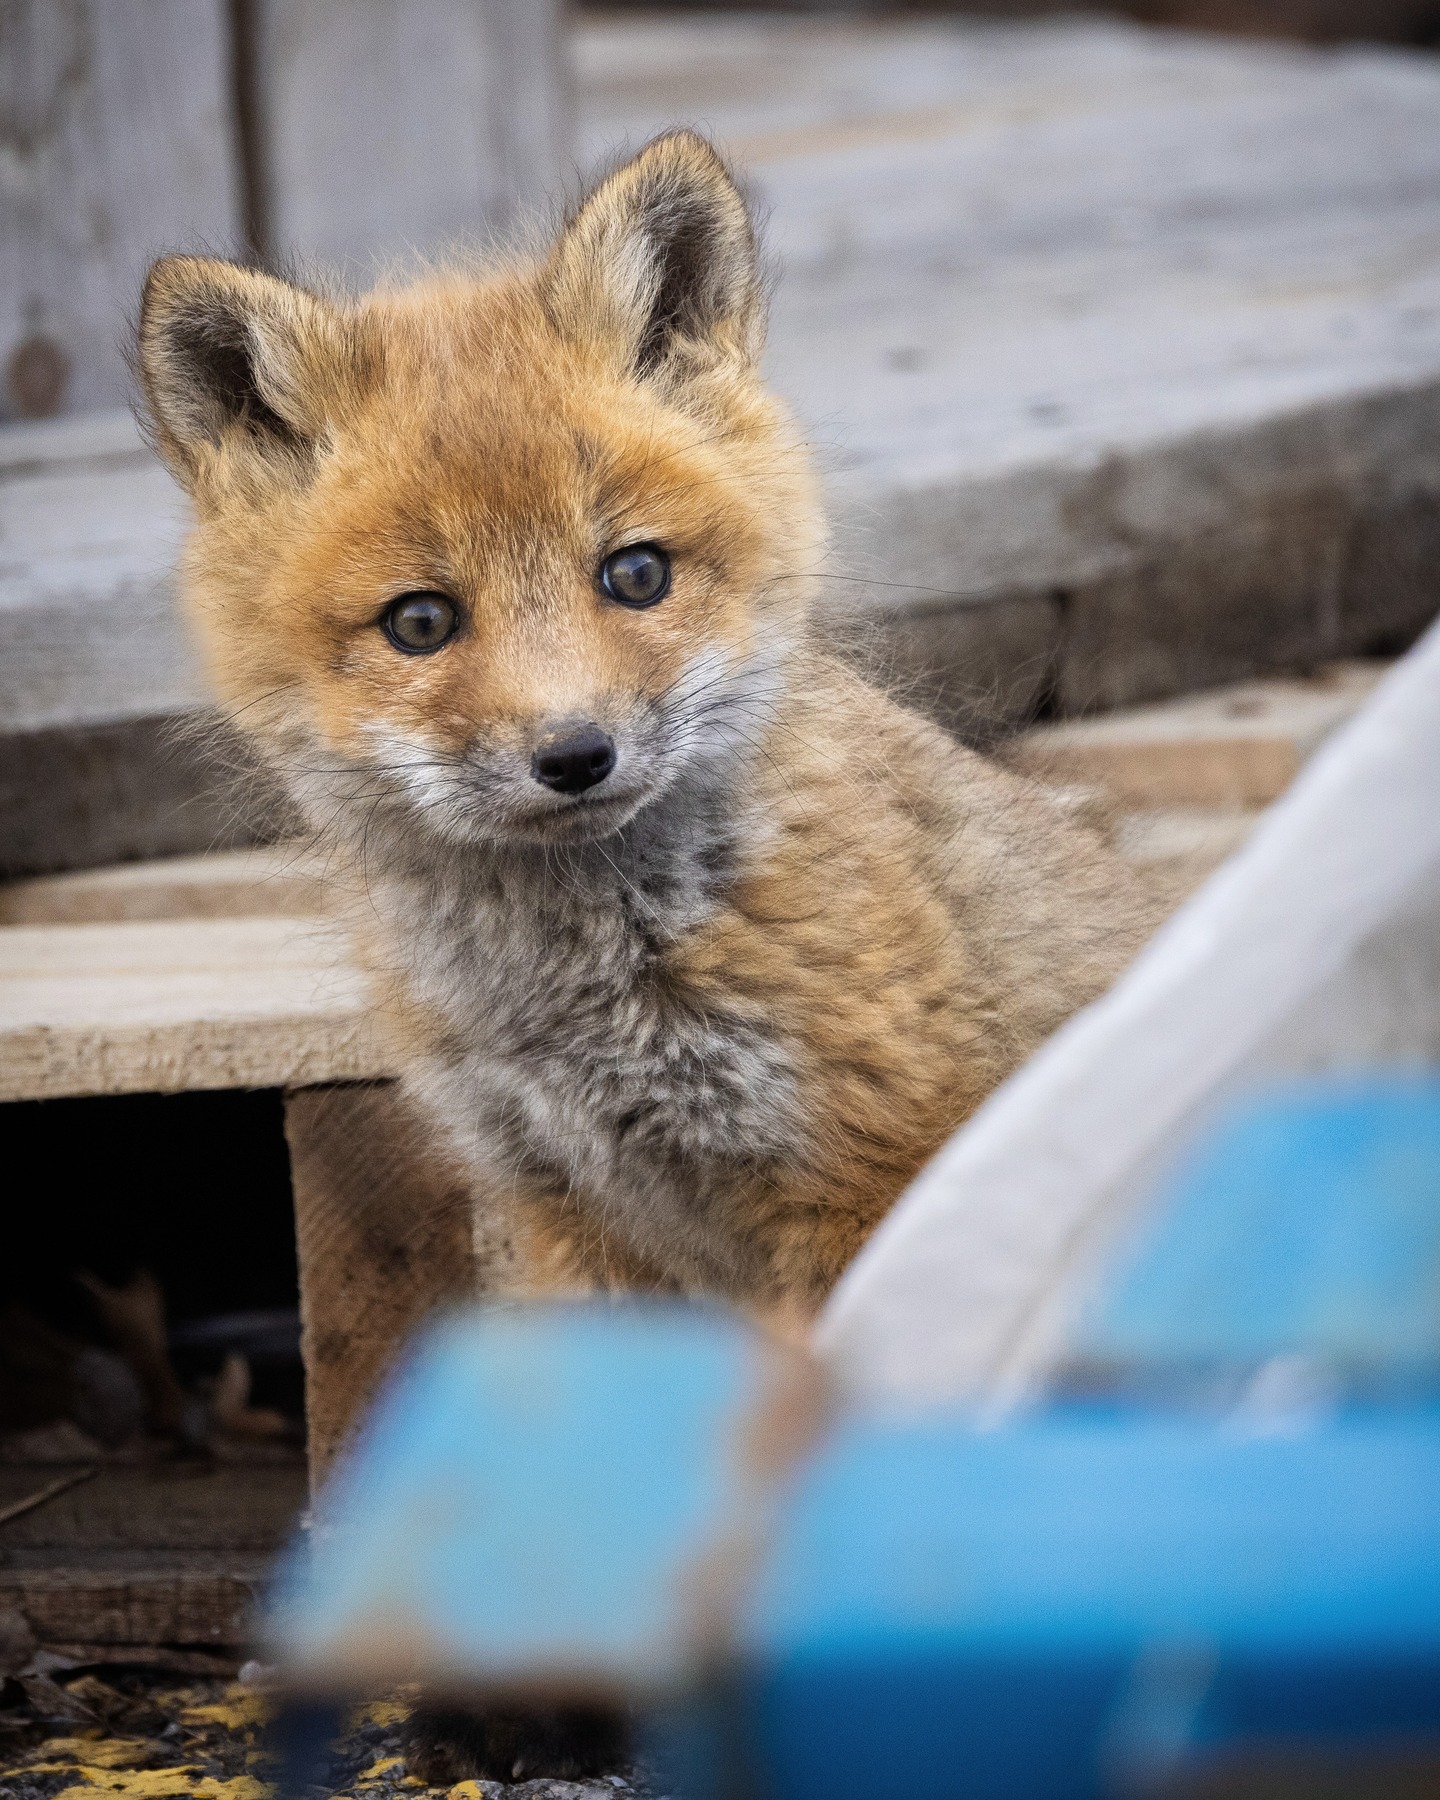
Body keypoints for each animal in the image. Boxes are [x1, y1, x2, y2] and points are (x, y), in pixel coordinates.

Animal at [137, 131, 1160, 1333]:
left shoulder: (866, 1181)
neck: (584, 1005)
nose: (576, 755)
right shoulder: (565, 1208)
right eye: (420, 622)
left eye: (636, 574)